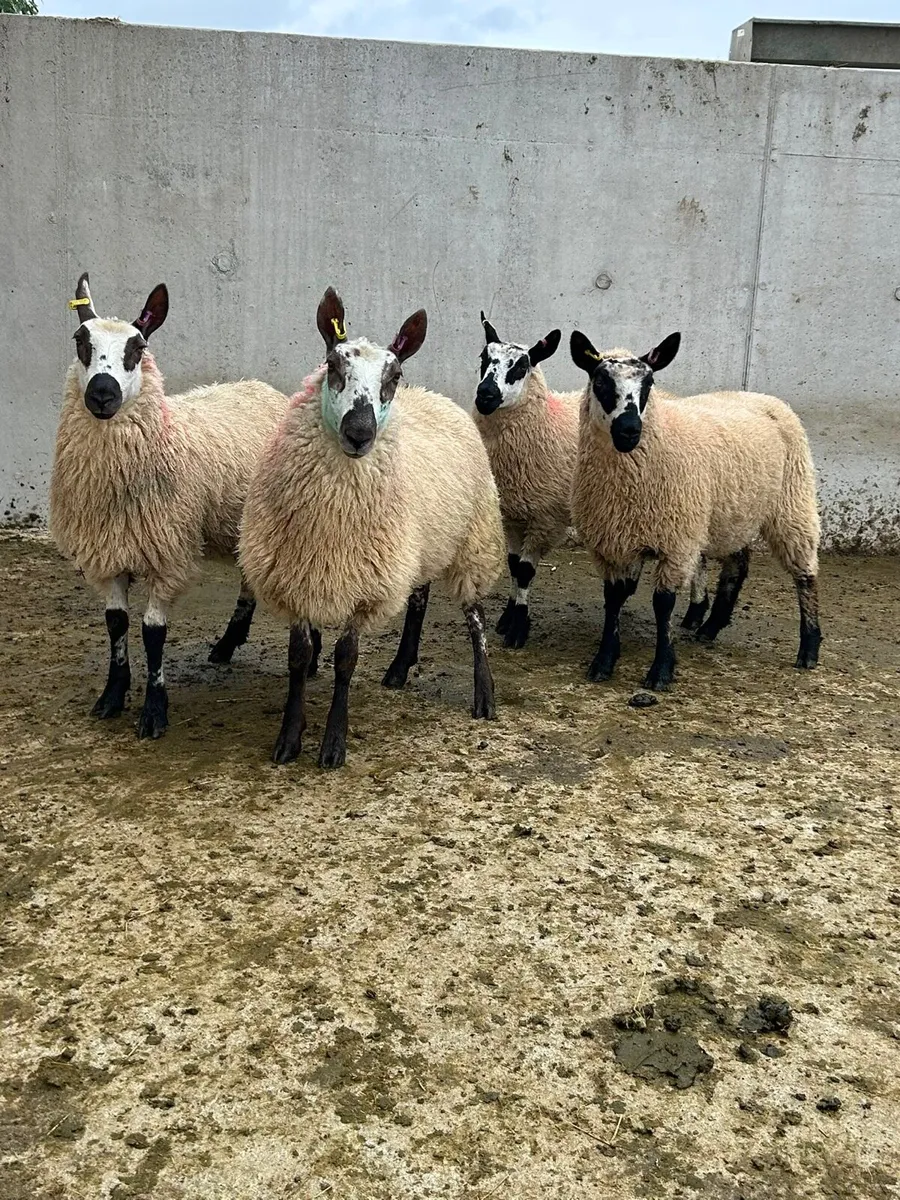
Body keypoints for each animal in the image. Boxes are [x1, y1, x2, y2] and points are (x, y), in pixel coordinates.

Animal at [50, 272, 319, 740]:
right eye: (80, 340)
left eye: (138, 347)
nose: (102, 394)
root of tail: (258, 386)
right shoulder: (109, 551)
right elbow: (116, 624)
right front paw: (112, 696)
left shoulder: (168, 552)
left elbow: (152, 632)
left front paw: (154, 711)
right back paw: (228, 644)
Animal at [239, 287, 505, 770]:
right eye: (332, 364)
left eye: (394, 375)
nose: (359, 432)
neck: (331, 518)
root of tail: (434, 395)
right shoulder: (295, 575)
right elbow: (298, 657)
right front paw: (289, 737)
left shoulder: (366, 583)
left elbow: (346, 659)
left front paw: (333, 744)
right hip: (421, 545)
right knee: (419, 598)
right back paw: (400, 667)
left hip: (473, 541)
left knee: (475, 616)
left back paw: (485, 693)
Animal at [472, 313, 580, 648]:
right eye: (484, 358)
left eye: (521, 366)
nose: (485, 395)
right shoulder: (511, 513)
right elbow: (511, 563)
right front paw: (508, 616)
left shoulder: (545, 518)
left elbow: (524, 570)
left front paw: (519, 626)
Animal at [569, 329, 822, 689]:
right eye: (600, 381)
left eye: (649, 383)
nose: (629, 430)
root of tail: (760, 396)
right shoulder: (613, 543)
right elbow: (614, 599)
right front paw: (604, 661)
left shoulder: (676, 541)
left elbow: (663, 604)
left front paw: (661, 670)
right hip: (733, 510)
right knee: (738, 563)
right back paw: (711, 626)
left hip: (793, 501)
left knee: (805, 572)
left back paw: (809, 647)